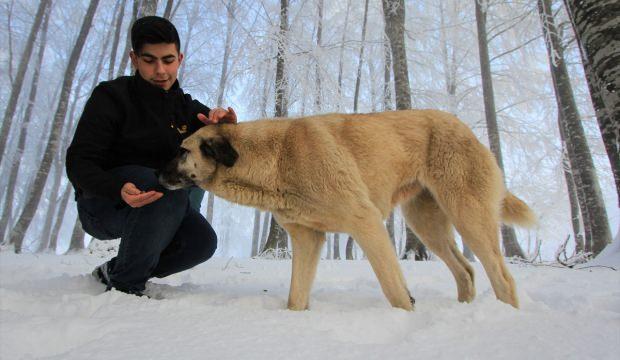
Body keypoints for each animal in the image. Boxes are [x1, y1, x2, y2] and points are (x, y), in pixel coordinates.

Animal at [157, 110, 536, 312]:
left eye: (182, 151)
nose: (156, 175)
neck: (276, 158)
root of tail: (464, 126)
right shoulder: (308, 239)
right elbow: (296, 297)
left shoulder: (366, 223)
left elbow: (395, 289)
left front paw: (407, 317)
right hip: (427, 223)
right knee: (466, 271)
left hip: (467, 215)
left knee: (502, 278)